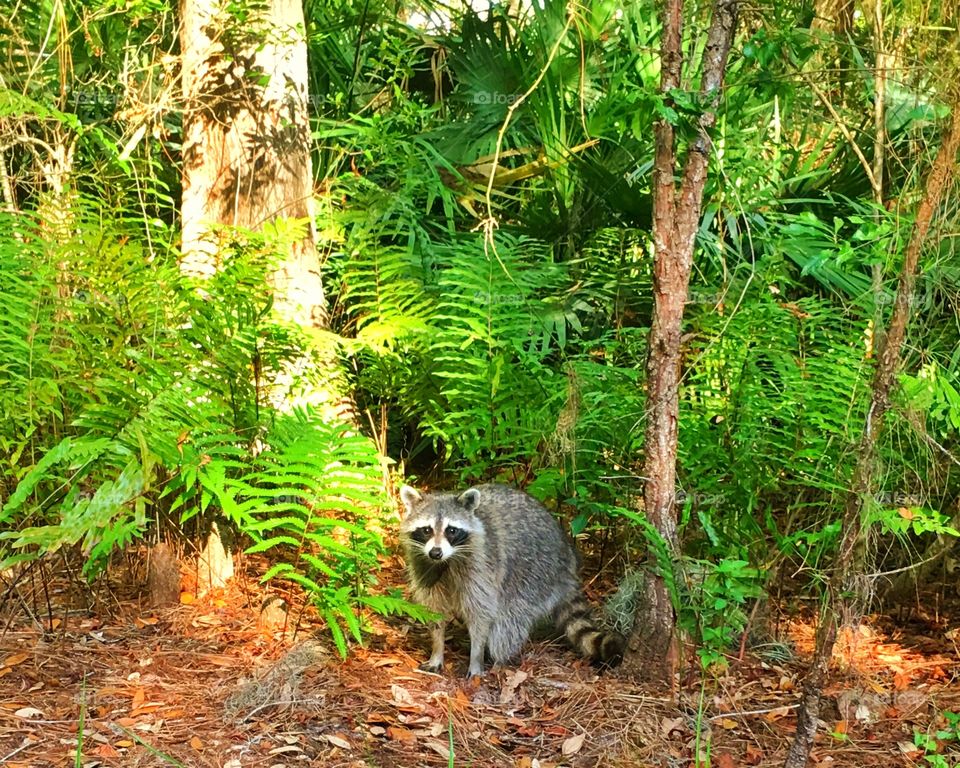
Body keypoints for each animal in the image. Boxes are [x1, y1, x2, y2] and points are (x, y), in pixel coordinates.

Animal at [396, 484, 624, 676]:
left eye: (451, 530)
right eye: (427, 530)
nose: (435, 552)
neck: (447, 560)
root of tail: (567, 557)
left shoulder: (483, 567)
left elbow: (481, 614)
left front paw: (476, 657)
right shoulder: (423, 564)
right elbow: (433, 609)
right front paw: (437, 649)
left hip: (535, 572)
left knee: (508, 621)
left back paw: (499, 660)